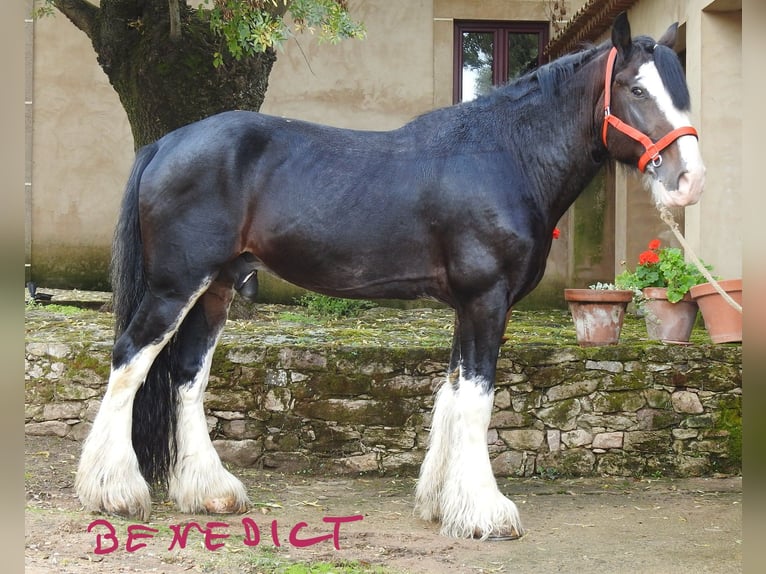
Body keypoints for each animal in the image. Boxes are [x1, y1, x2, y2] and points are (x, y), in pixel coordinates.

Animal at [78, 14, 708, 544]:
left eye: (680, 90)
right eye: (636, 89)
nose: (690, 182)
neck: (505, 156)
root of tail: (167, 142)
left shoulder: (468, 305)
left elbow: (453, 392)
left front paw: (441, 502)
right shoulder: (486, 300)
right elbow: (477, 400)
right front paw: (486, 513)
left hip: (216, 288)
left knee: (187, 375)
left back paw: (209, 491)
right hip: (175, 285)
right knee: (130, 360)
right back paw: (115, 492)